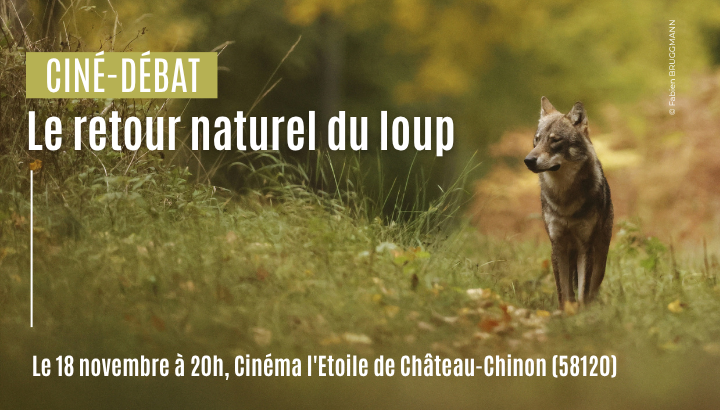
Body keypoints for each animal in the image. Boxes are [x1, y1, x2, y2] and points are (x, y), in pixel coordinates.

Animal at [523, 97, 613, 308]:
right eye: (537, 139)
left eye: (555, 140)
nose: (528, 160)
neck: (564, 198)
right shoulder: (558, 247)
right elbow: (563, 293)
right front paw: (566, 312)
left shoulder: (585, 247)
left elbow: (583, 292)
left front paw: (581, 312)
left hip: (600, 258)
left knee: (592, 289)